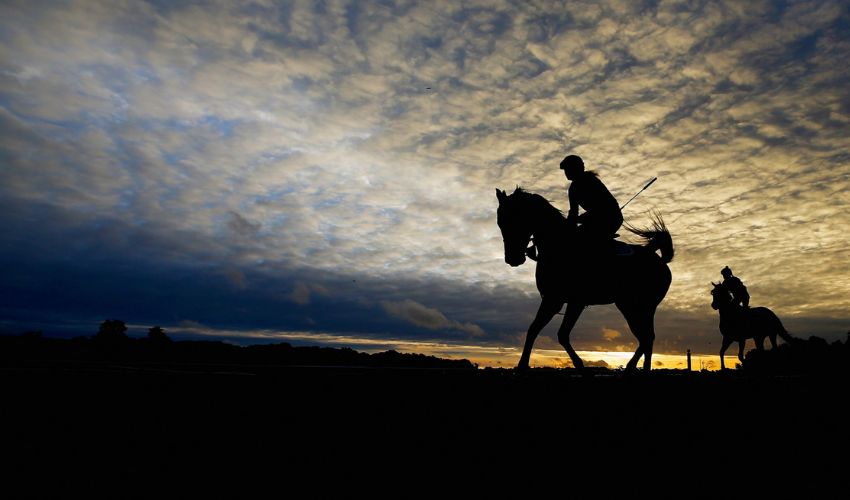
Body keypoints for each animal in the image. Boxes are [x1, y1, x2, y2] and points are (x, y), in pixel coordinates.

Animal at [496, 188, 668, 372]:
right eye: (500, 223)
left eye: (514, 219)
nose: (512, 258)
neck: (559, 245)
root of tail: (661, 261)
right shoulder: (557, 300)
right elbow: (537, 330)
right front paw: (523, 365)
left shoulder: (564, 301)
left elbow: (558, 333)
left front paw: (578, 364)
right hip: (631, 306)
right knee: (646, 337)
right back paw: (640, 368)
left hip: (639, 306)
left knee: (646, 337)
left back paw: (633, 367)